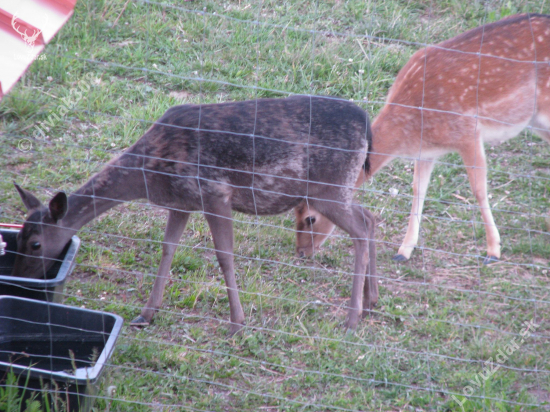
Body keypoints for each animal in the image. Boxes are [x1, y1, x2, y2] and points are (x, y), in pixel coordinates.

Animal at [10, 95, 380, 334]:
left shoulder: (214, 193)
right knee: (369, 216)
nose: (21, 279)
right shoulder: (181, 203)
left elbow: (224, 255)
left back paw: (351, 320)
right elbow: (168, 249)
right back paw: (371, 300)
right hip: (336, 189)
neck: (148, 175)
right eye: (17, 239)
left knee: (361, 229)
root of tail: (367, 125)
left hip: (327, 187)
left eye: (35, 244)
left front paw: (237, 323)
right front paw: (146, 314)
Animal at [298, 13, 550, 264]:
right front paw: (403, 251)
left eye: (310, 217)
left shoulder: (468, 132)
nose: (301, 251)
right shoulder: (426, 152)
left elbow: (478, 190)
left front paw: (493, 250)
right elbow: (418, 190)